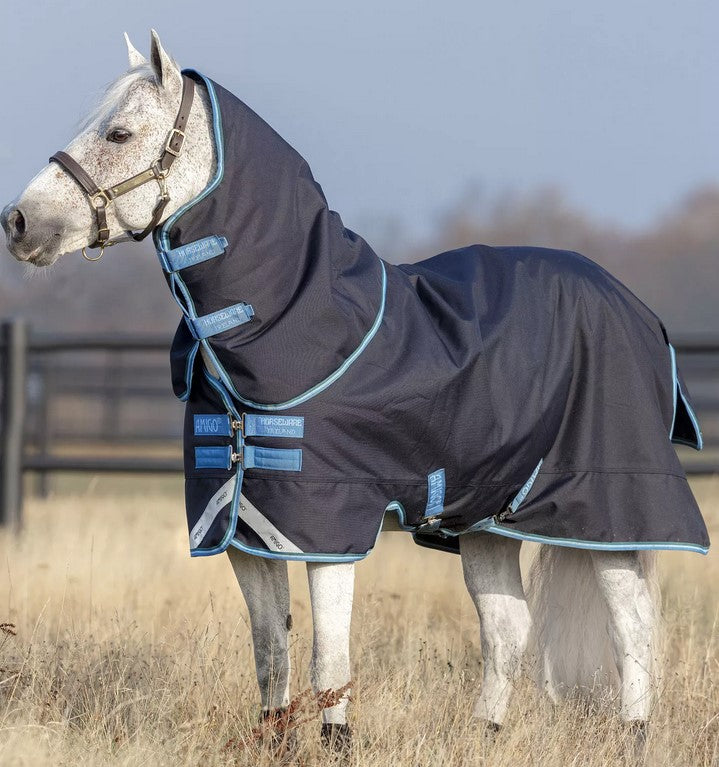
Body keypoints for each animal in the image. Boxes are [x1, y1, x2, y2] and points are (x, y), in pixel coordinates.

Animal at [1, 30, 708, 755]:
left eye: (118, 133)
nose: (19, 221)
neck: (300, 324)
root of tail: (634, 307)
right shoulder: (245, 531)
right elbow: (269, 650)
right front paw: (275, 743)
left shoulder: (326, 527)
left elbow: (328, 658)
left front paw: (336, 743)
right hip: (487, 521)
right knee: (506, 629)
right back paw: (485, 735)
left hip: (612, 512)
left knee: (632, 626)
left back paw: (634, 738)